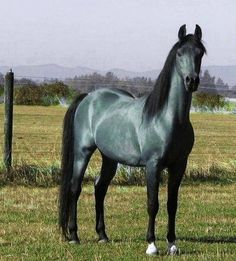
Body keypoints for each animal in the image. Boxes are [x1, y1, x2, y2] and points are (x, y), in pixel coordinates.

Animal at [58, 24, 205, 254]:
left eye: (200, 53)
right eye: (180, 53)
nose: (192, 81)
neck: (169, 118)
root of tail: (88, 97)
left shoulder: (179, 165)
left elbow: (172, 204)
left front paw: (172, 244)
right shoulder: (153, 165)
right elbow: (153, 204)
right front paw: (151, 245)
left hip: (110, 158)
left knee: (100, 188)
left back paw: (102, 236)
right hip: (83, 152)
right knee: (75, 187)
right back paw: (74, 235)